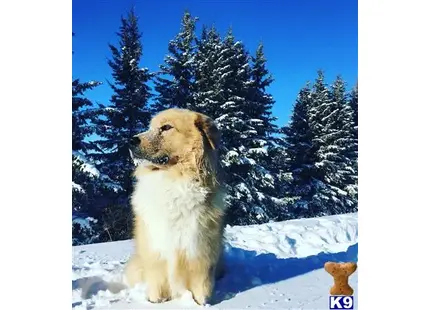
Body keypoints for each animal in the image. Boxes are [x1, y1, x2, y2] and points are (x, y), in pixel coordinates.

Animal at [123, 108, 227, 306]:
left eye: (166, 127)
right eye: (150, 127)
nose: (130, 140)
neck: (173, 178)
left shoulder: (199, 250)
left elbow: (200, 286)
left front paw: (201, 304)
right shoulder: (155, 248)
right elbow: (157, 281)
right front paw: (156, 301)